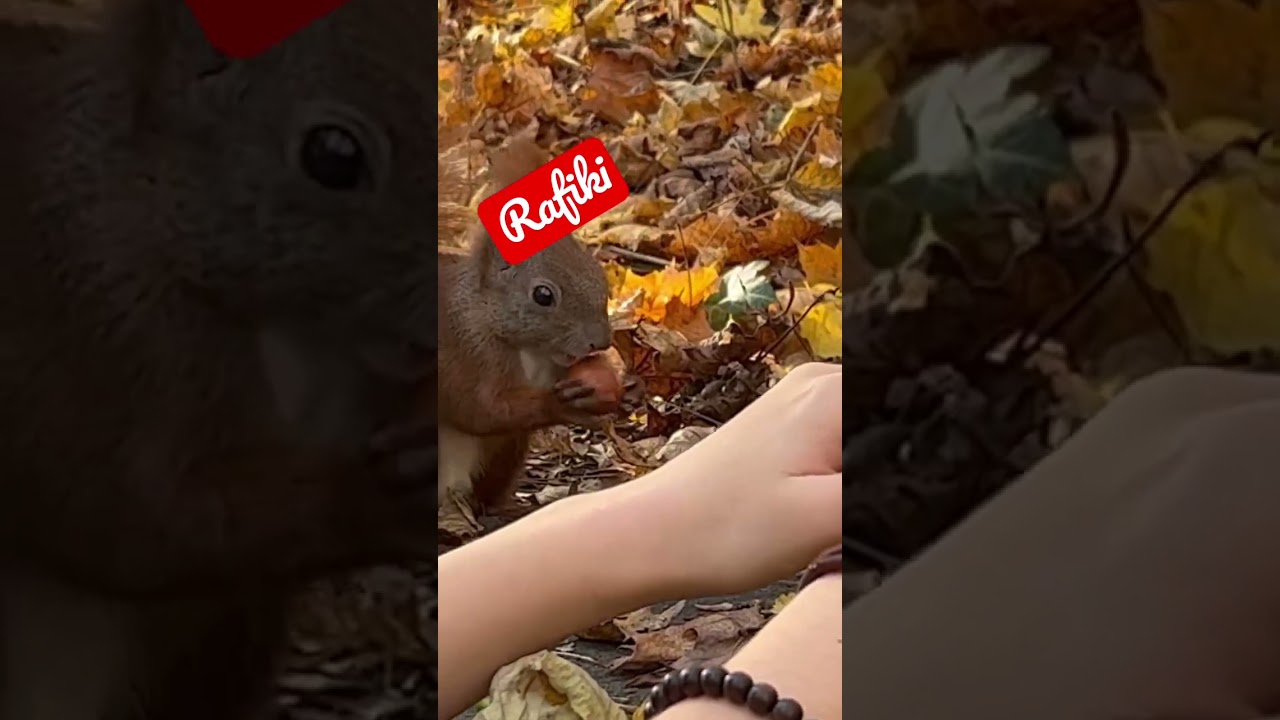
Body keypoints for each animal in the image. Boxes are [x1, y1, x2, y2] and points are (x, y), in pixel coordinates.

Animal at [437, 137, 616, 509]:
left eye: (598, 271)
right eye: (543, 295)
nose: (601, 342)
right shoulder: (464, 357)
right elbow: (482, 409)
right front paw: (558, 404)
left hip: (509, 451)